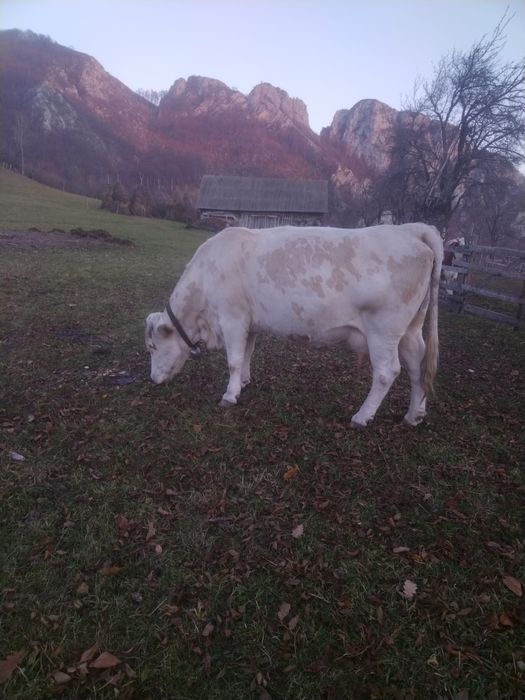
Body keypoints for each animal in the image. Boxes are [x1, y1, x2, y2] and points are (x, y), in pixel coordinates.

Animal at [145, 223, 443, 428]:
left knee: (386, 372)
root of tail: (410, 230)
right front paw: (245, 382)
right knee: (418, 366)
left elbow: (233, 360)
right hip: (410, 330)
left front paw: (230, 395)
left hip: (384, 330)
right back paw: (413, 415)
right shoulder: (250, 322)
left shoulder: (232, 318)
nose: (153, 379)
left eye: (152, 347)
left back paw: (362, 416)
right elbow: (247, 354)